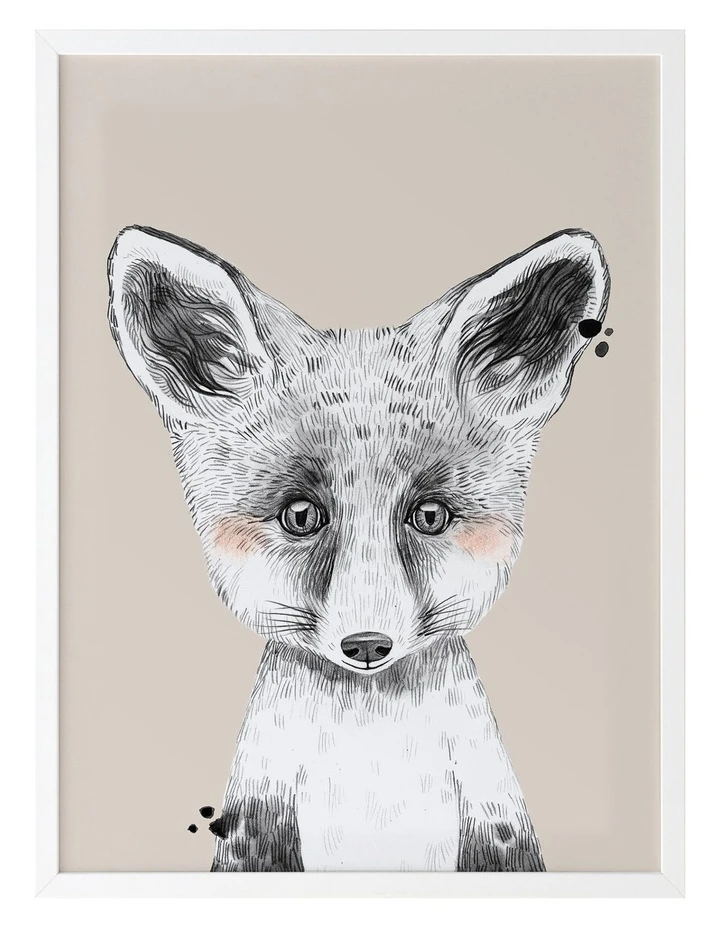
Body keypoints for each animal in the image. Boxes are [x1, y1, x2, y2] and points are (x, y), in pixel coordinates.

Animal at [107, 225, 609, 872]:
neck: (374, 786)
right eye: (301, 516)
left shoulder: (499, 828)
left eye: (429, 516)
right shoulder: (256, 831)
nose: (367, 644)